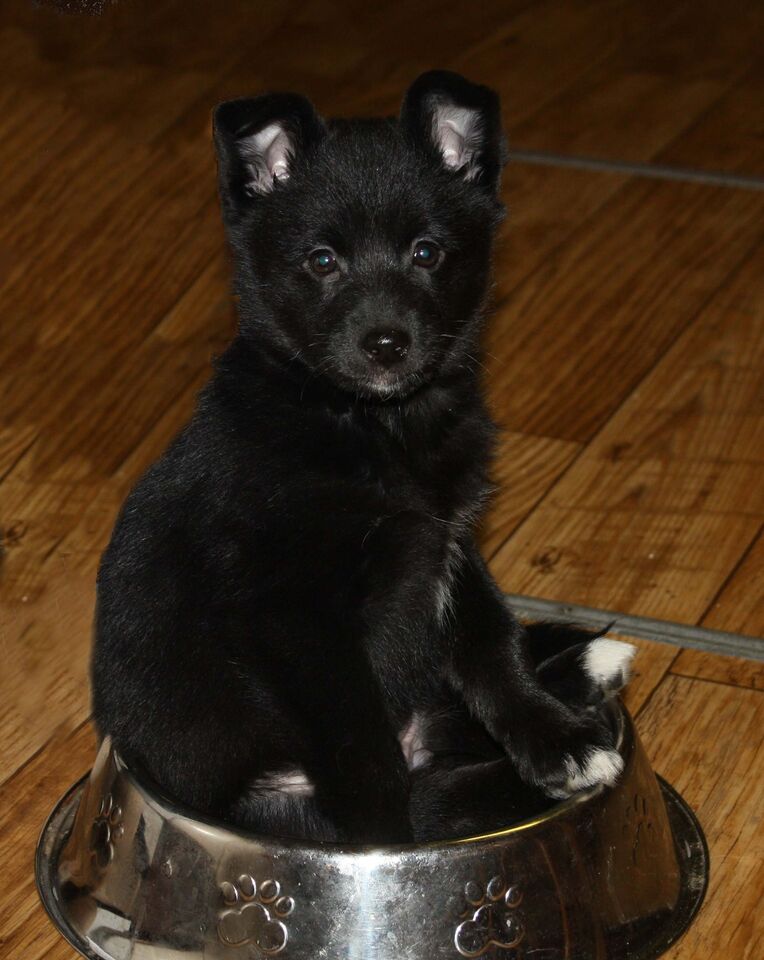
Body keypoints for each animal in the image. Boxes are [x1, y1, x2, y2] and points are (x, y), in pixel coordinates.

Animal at [92, 71, 634, 844]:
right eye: (322, 261)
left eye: (427, 253)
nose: (386, 345)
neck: (373, 426)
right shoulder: (298, 618)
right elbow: (362, 744)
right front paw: (384, 844)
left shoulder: (448, 549)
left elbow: (493, 648)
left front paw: (555, 739)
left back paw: (583, 670)